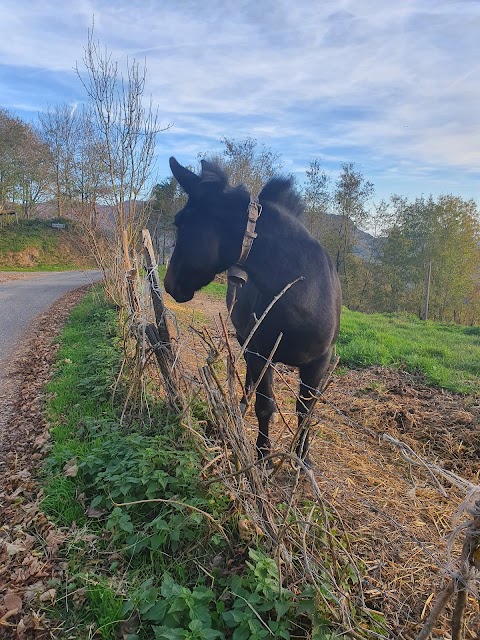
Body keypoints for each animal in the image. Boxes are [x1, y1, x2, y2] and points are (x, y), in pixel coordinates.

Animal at [165, 155, 342, 464]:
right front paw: (262, 457)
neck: (303, 294)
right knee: (250, 379)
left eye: (181, 224)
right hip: (246, 341)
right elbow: (265, 406)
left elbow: (305, 412)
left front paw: (302, 459)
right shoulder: (261, 353)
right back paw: (242, 402)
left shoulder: (319, 362)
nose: (168, 283)